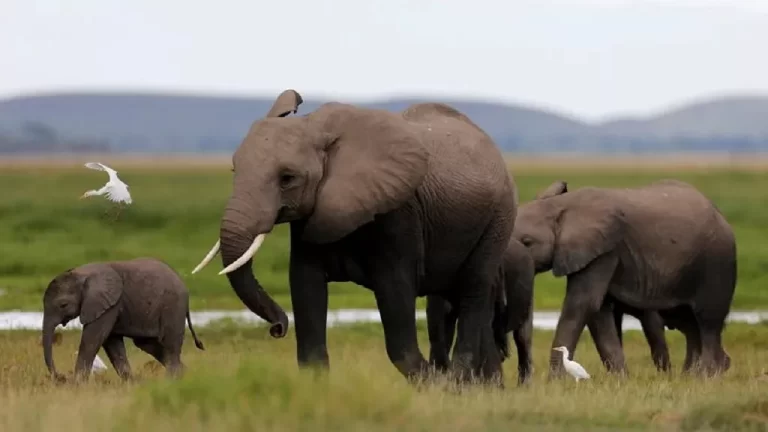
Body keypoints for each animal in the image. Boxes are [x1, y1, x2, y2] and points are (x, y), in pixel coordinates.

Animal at [42, 258, 205, 382]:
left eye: (63, 305)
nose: (61, 377)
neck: (81, 274)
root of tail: (184, 285)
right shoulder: (109, 305)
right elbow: (111, 343)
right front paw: (131, 384)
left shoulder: (108, 304)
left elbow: (93, 339)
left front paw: (77, 385)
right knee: (149, 344)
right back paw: (186, 375)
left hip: (173, 306)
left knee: (170, 344)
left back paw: (173, 380)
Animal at [191, 89, 518, 385]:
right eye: (234, 169)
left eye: (287, 179)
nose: (278, 328)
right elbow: (305, 285)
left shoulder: (397, 213)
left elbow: (395, 295)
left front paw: (437, 387)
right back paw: (486, 389)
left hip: (498, 218)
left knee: (473, 290)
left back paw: (460, 382)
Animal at [512, 179, 736, 379]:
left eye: (527, 242)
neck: (561, 206)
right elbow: (598, 311)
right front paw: (621, 380)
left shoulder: (605, 250)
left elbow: (582, 304)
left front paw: (554, 382)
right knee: (690, 324)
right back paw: (692, 376)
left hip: (717, 263)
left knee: (708, 321)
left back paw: (706, 376)